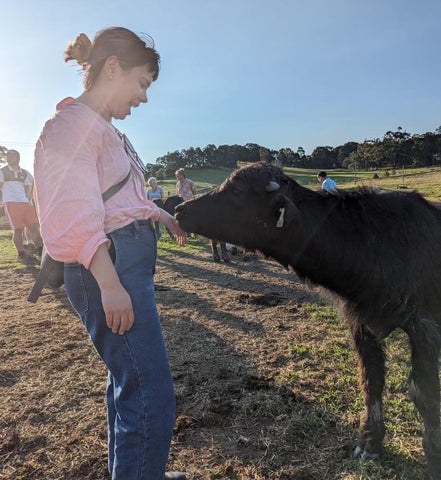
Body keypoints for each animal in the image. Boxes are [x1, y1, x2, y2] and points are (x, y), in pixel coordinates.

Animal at [176, 162, 441, 480]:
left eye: (237, 190)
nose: (179, 209)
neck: (373, 244)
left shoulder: (424, 326)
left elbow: (424, 390)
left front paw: (434, 452)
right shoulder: (362, 326)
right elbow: (371, 382)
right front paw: (370, 442)